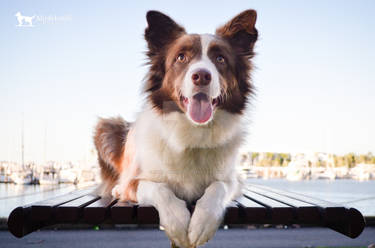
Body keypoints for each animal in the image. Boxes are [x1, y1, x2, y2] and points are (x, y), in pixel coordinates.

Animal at [94, 10, 258, 248]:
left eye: (220, 59)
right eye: (181, 57)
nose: (202, 76)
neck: (192, 133)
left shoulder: (233, 180)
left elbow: (218, 187)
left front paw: (202, 223)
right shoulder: (134, 181)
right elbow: (159, 189)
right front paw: (178, 223)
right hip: (106, 127)